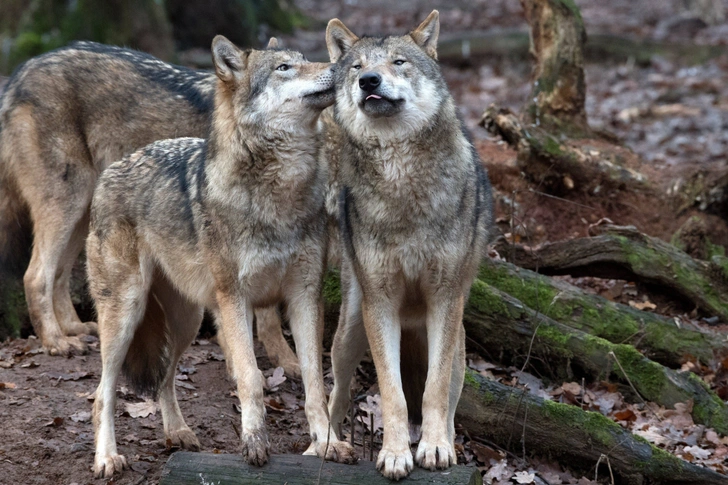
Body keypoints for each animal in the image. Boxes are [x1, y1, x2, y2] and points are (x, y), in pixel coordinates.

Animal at [0, 39, 302, 376]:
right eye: (284, 69)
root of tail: (20, 73)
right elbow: (263, 317)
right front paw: (273, 364)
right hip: (67, 202)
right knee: (36, 275)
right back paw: (55, 341)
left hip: (85, 215)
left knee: (60, 275)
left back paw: (74, 328)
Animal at [85, 37, 356, 476]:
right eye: (284, 68)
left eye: (303, 60)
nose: (343, 65)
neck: (279, 194)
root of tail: (111, 170)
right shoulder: (235, 298)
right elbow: (250, 377)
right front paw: (254, 444)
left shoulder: (304, 295)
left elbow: (316, 382)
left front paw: (327, 445)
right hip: (126, 313)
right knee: (102, 393)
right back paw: (107, 457)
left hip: (188, 321)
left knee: (164, 379)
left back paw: (178, 433)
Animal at [322, 12, 494, 480]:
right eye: (357, 66)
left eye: (398, 62)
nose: (369, 80)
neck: (402, 186)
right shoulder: (381, 303)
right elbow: (392, 392)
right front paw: (396, 453)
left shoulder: (445, 299)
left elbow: (432, 391)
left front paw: (433, 449)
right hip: (351, 331)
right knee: (336, 395)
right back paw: (327, 447)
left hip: (457, 347)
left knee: (448, 399)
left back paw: (446, 442)